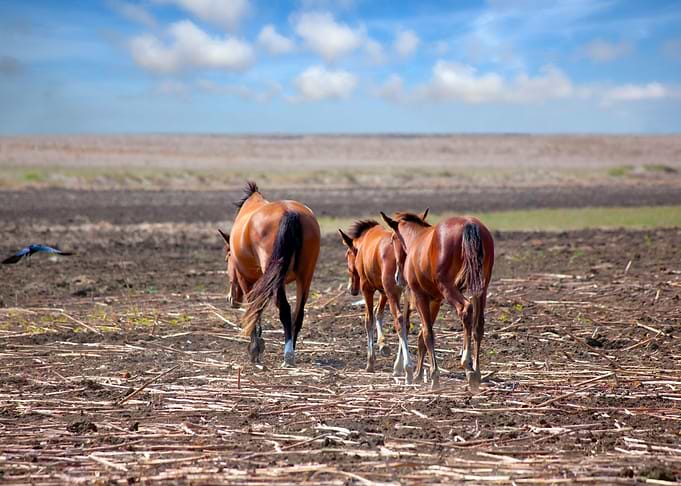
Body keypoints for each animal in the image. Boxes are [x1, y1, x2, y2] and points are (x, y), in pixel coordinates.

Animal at [220, 182, 321, 367]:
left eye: (227, 258)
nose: (231, 299)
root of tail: (290, 213)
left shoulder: (246, 280)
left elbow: (254, 309)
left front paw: (255, 349)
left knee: (285, 310)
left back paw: (288, 356)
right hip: (305, 275)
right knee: (298, 313)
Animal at [339, 216, 420, 382]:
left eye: (347, 255)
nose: (352, 290)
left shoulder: (368, 288)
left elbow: (369, 319)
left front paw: (370, 362)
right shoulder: (384, 291)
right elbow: (379, 313)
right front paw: (383, 344)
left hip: (393, 291)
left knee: (399, 320)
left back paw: (407, 368)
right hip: (405, 291)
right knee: (405, 322)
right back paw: (400, 366)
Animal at [381, 210, 494, 391]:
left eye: (393, 238)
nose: (398, 277)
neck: (417, 240)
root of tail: (469, 224)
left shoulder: (420, 296)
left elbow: (428, 333)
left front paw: (434, 376)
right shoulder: (435, 300)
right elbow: (422, 335)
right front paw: (418, 374)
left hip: (449, 287)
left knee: (465, 310)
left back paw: (467, 365)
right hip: (480, 288)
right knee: (479, 325)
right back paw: (477, 372)